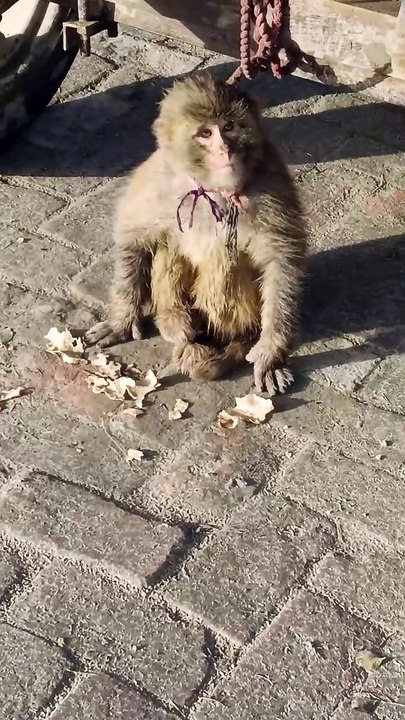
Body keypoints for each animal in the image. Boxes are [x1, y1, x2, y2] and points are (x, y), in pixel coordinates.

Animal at [85, 72, 307, 395]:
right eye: (205, 134)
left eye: (229, 127)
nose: (224, 150)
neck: (212, 187)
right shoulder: (159, 177)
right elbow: (134, 237)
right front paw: (122, 321)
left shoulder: (271, 184)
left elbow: (281, 262)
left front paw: (271, 356)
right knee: (168, 246)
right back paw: (175, 320)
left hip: (247, 312)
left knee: (225, 259)